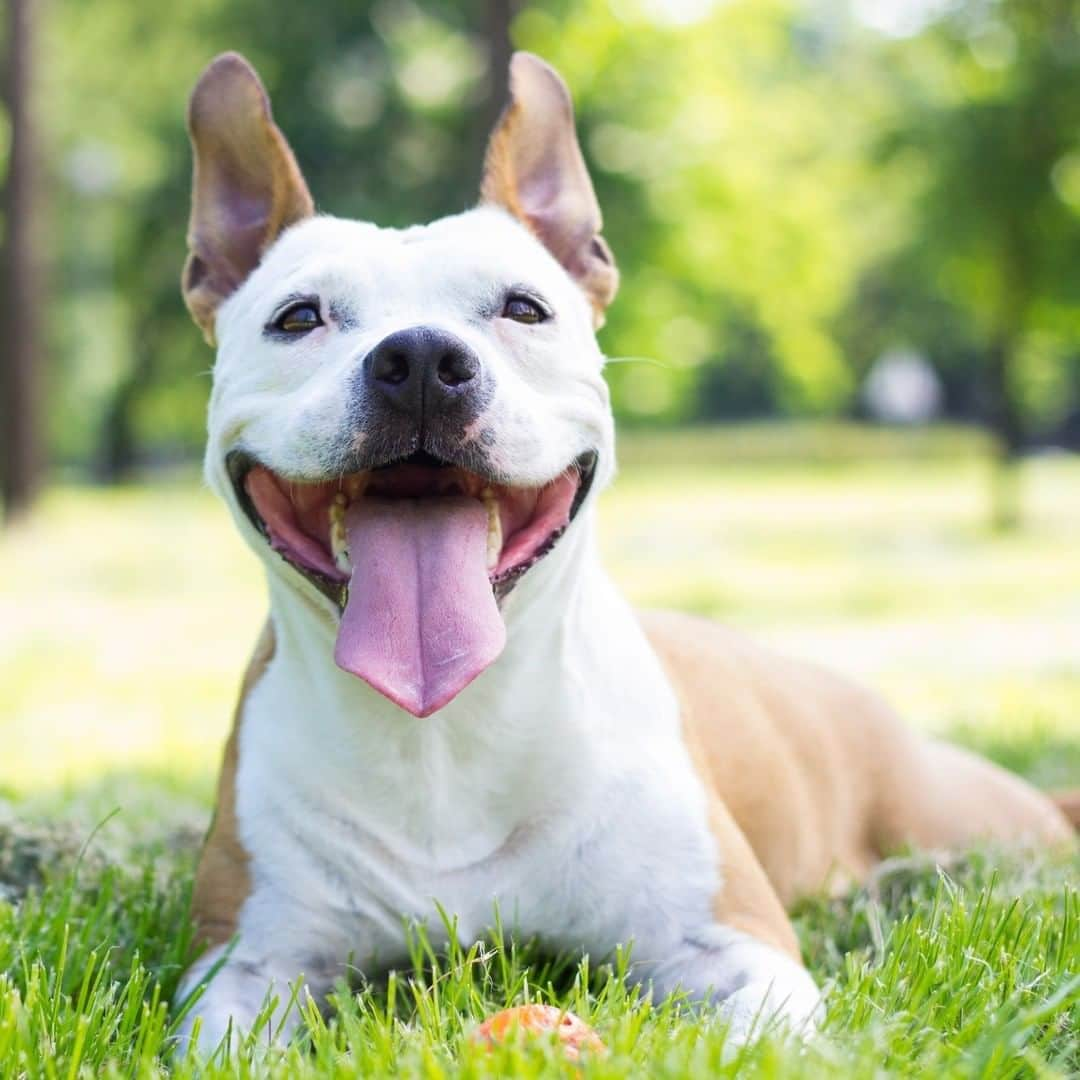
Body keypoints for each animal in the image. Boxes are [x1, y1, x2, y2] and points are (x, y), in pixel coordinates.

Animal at [172, 50, 1075, 1054]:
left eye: (524, 309)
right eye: (298, 318)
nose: (419, 361)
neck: (445, 729)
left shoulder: (736, 942)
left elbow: (758, 1038)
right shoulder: (245, 965)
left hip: (972, 822)